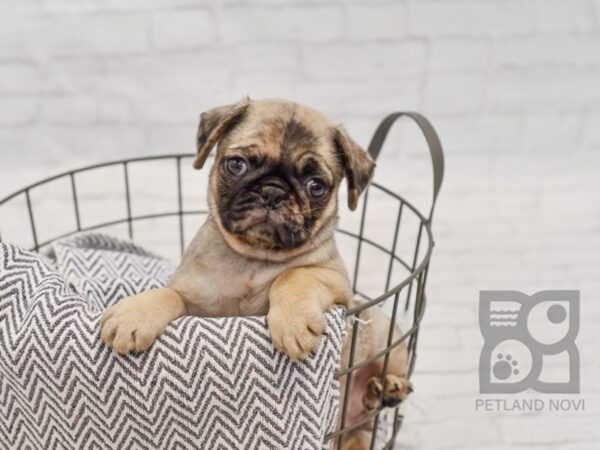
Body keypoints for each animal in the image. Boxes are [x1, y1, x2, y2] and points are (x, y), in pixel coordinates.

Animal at [102, 99, 412, 450]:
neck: (255, 258)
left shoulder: (336, 282)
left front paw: (293, 323)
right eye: (237, 165)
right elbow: (169, 294)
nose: (273, 192)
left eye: (316, 186)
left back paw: (388, 389)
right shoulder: (196, 302)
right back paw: (374, 396)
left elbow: (293, 277)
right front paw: (133, 315)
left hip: (385, 336)